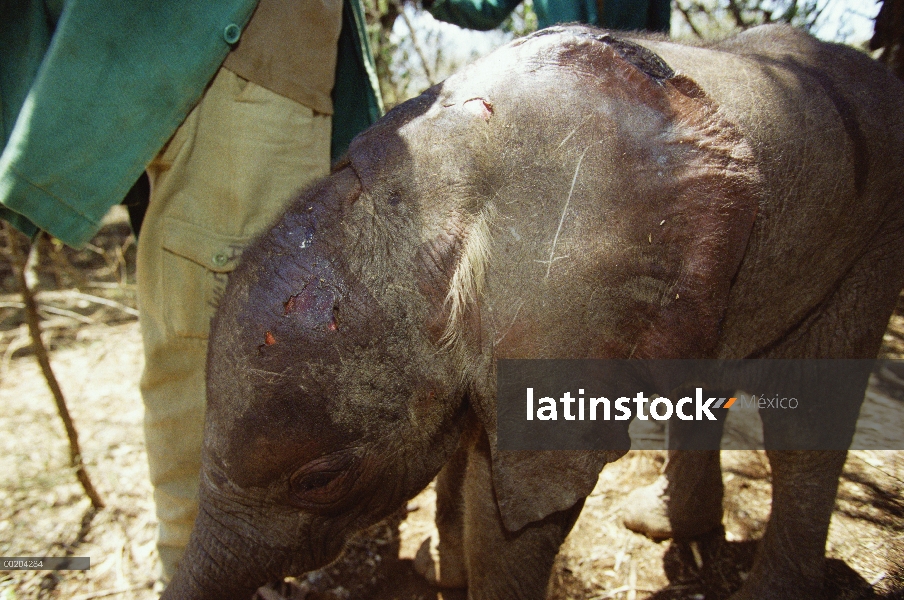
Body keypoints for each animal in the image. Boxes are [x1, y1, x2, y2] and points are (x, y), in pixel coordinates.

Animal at [161, 23, 904, 600]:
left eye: (320, 480)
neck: (421, 196)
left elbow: (510, 519)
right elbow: (470, 452)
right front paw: (440, 571)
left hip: (870, 238)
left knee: (807, 430)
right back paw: (662, 524)